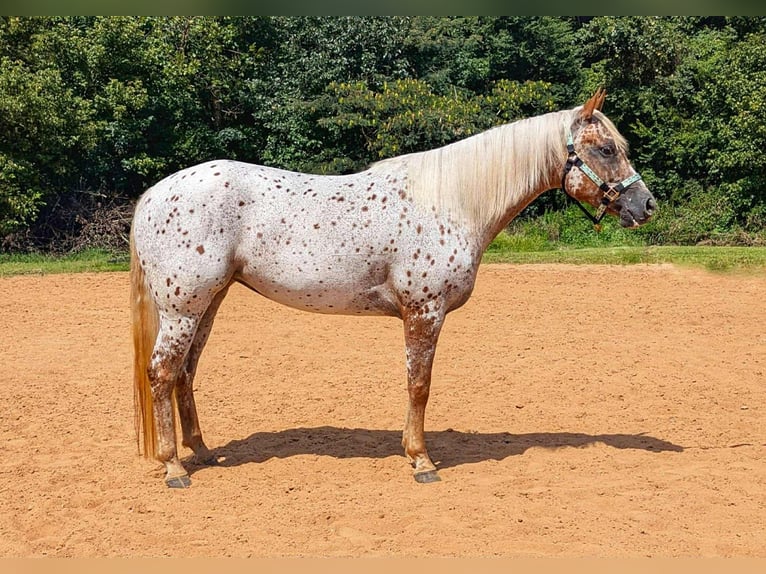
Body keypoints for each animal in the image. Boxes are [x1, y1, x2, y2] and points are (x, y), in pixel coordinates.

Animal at [130, 89, 657, 488]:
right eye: (605, 149)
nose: (646, 205)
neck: (452, 200)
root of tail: (155, 195)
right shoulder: (424, 311)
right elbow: (419, 384)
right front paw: (421, 460)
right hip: (183, 309)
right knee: (161, 373)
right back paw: (174, 468)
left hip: (207, 304)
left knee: (184, 374)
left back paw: (202, 451)